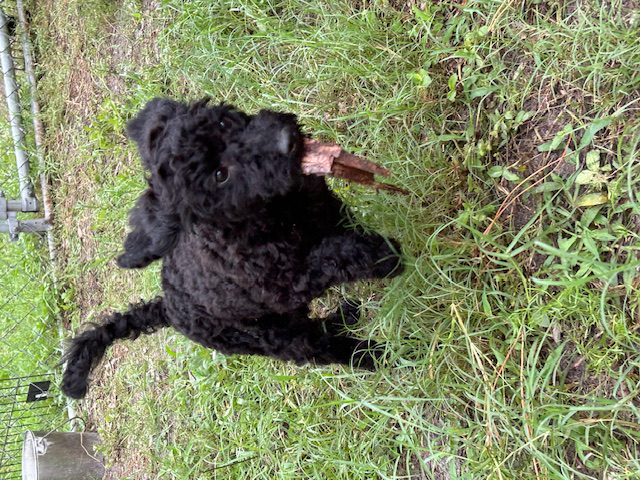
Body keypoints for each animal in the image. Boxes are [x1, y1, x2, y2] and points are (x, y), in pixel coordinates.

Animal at [60, 96, 402, 398]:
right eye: (220, 175)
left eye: (223, 122)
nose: (286, 140)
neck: (276, 211)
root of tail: (168, 306)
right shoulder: (285, 283)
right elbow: (332, 256)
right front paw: (387, 257)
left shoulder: (328, 209)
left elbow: (346, 233)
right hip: (266, 335)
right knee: (313, 346)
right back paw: (373, 356)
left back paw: (344, 317)